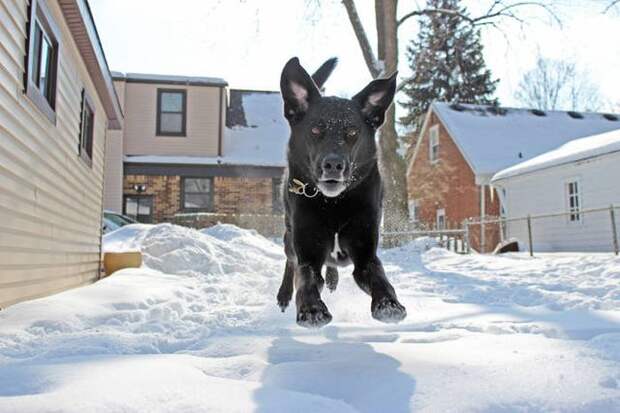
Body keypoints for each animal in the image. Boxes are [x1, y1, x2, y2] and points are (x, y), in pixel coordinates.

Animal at [276, 58, 406, 328]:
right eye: (315, 130)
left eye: (353, 132)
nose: (334, 164)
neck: (334, 205)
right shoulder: (307, 252)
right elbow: (305, 277)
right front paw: (312, 309)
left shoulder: (366, 253)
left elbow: (381, 278)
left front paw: (389, 305)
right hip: (289, 234)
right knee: (290, 260)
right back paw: (284, 294)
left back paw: (333, 279)